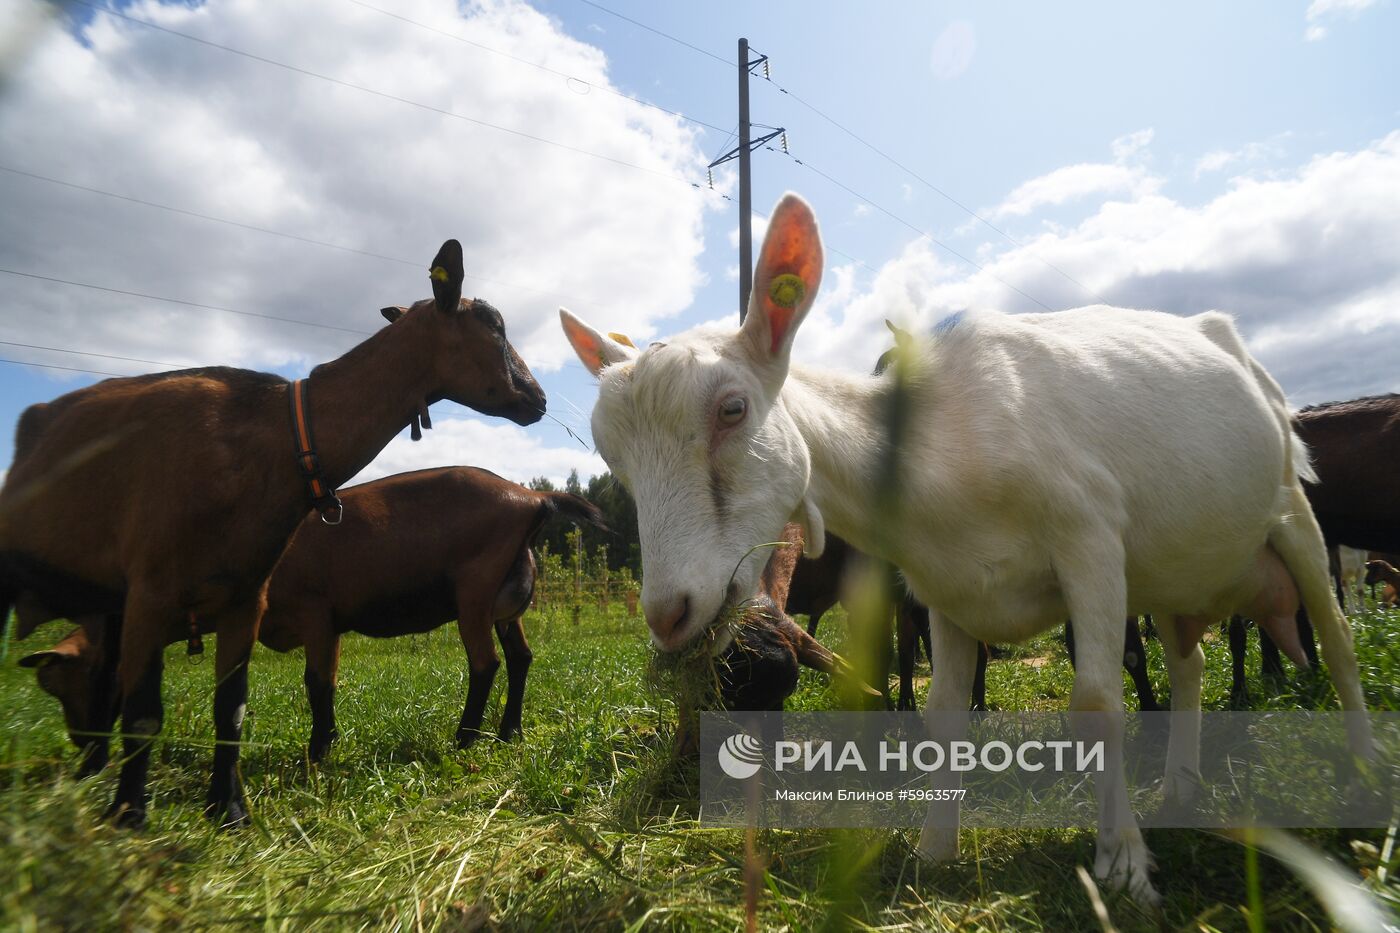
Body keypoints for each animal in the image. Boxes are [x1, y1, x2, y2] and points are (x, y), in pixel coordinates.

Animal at [20, 465, 602, 767]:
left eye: (84, 676)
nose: (84, 748)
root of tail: (530, 498)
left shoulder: (318, 616)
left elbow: (318, 683)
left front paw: (318, 750)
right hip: (505, 602)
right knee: (521, 657)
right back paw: (508, 732)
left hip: (473, 594)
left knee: (485, 664)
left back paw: (464, 737)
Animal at [557, 190, 1366, 902]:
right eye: (611, 454)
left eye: (732, 408)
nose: (668, 611)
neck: (942, 445)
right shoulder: (943, 588)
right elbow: (942, 713)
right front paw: (933, 849)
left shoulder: (1091, 538)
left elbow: (1097, 702)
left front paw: (1125, 865)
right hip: (1174, 569)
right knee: (1189, 660)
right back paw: (1179, 787)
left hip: (1289, 508)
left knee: (1335, 636)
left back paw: (1361, 782)